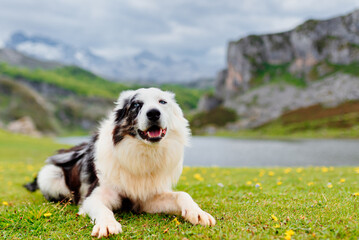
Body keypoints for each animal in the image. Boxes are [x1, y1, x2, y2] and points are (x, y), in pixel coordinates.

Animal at [26, 87, 217, 238]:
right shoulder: (94, 196)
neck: (142, 153)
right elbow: (103, 208)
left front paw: (198, 212)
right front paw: (107, 224)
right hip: (50, 176)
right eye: (136, 105)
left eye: (162, 102)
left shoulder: (147, 198)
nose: (153, 113)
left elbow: (182, 194)